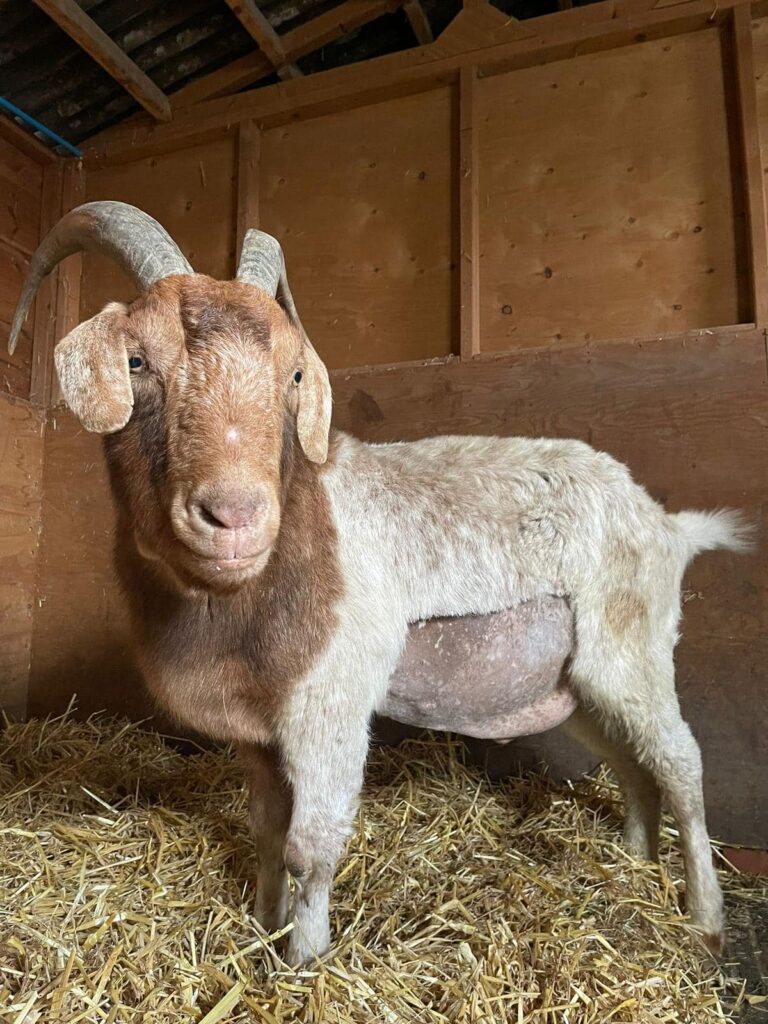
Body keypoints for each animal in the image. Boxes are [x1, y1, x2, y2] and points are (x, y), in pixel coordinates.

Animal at [11, 201, 751, 966]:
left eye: (294, 376)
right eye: (136, 361)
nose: (234, 516)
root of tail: (666, 523)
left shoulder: (332, 700)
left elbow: (310, 848)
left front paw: (304, 963)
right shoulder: (258, 728)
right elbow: (267, 832)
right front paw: (263, 927)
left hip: (632, 642)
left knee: (680, 764)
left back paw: (704, 917)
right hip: (569, 681)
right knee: (631, 764)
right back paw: (634, 862)